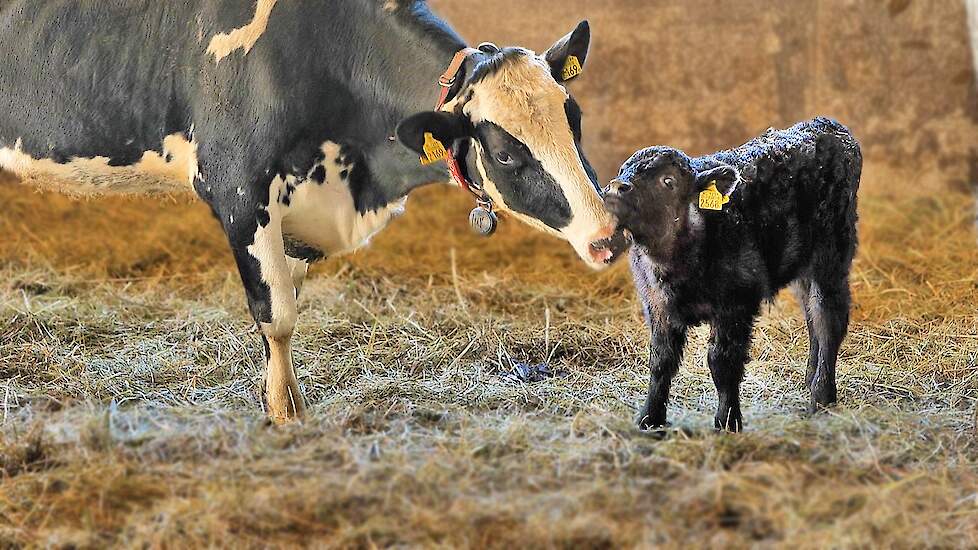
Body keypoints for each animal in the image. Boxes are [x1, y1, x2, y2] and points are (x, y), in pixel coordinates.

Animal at [0, 0, 624, 424]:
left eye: (574, 118)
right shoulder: (239, 188)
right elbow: (276, 313)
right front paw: (283, 415)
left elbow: (290, 295)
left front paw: (282, 398)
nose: (608, 235)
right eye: (505, 152)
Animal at [608, 118, 856, 434]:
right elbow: (661, 361)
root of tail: (826, 123)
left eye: (668, 181)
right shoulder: (657, 306)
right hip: (804, 266)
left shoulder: (736, 304)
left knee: (829, 319)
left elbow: (722, 363)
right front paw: (650, 417)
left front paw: (727, 421)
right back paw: (809, 378)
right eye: (622, 170)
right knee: (812, 315)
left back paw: (822, 398)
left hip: (832, 255)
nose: (617, 188)